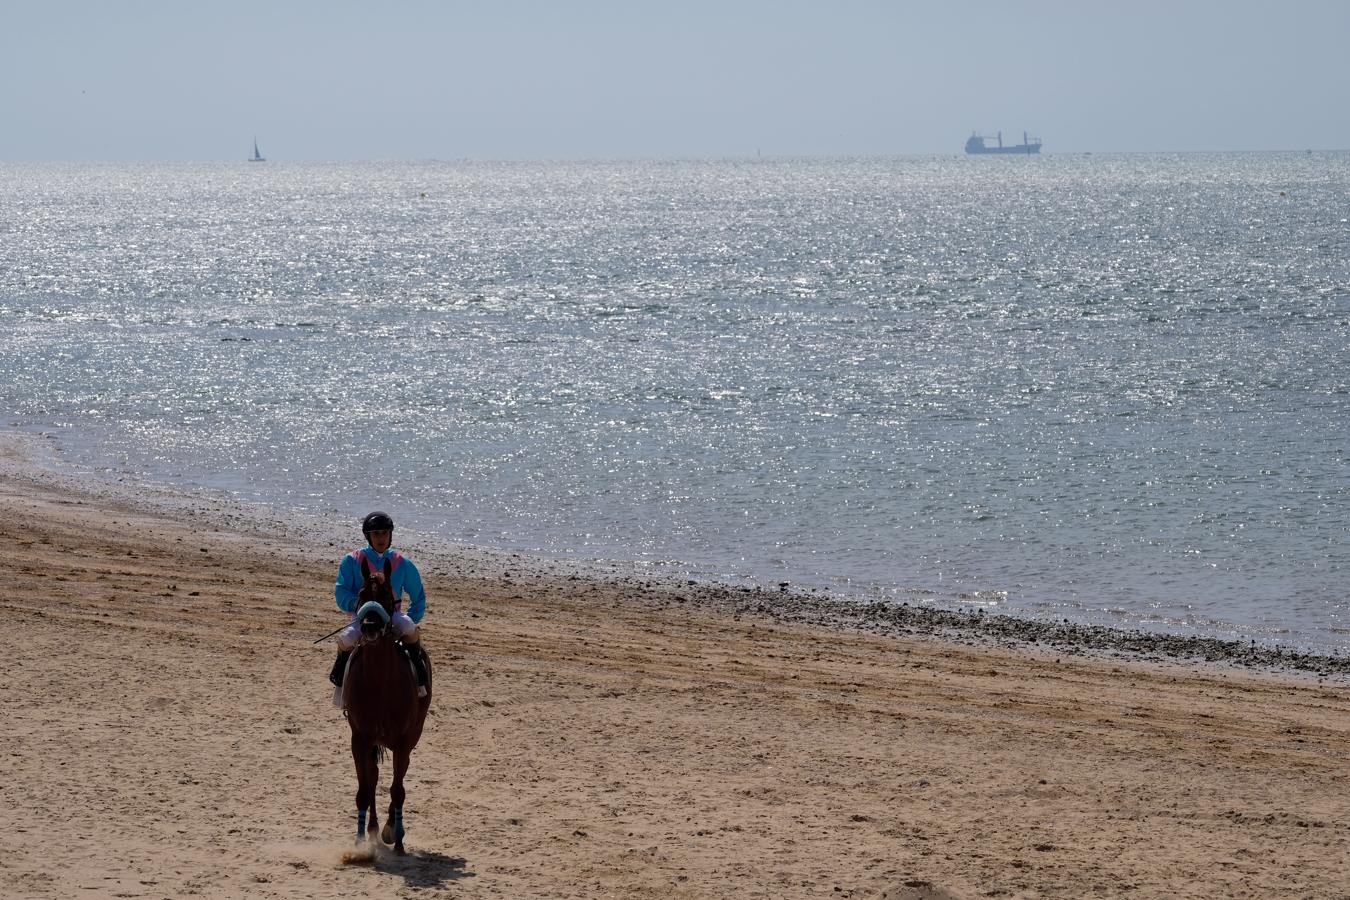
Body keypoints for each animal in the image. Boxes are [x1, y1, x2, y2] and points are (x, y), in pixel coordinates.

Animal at [342, 553, 432, 858]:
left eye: (385, 595)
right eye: (361, 594)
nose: (369, 627)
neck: (380, 682)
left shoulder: (404, 741)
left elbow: (397, 789)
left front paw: (397, 836)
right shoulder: (360, 738)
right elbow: (364, 788)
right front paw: (359, 842)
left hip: (413, 735)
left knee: (397, 779)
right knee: (374, 778)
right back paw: (371, 830)